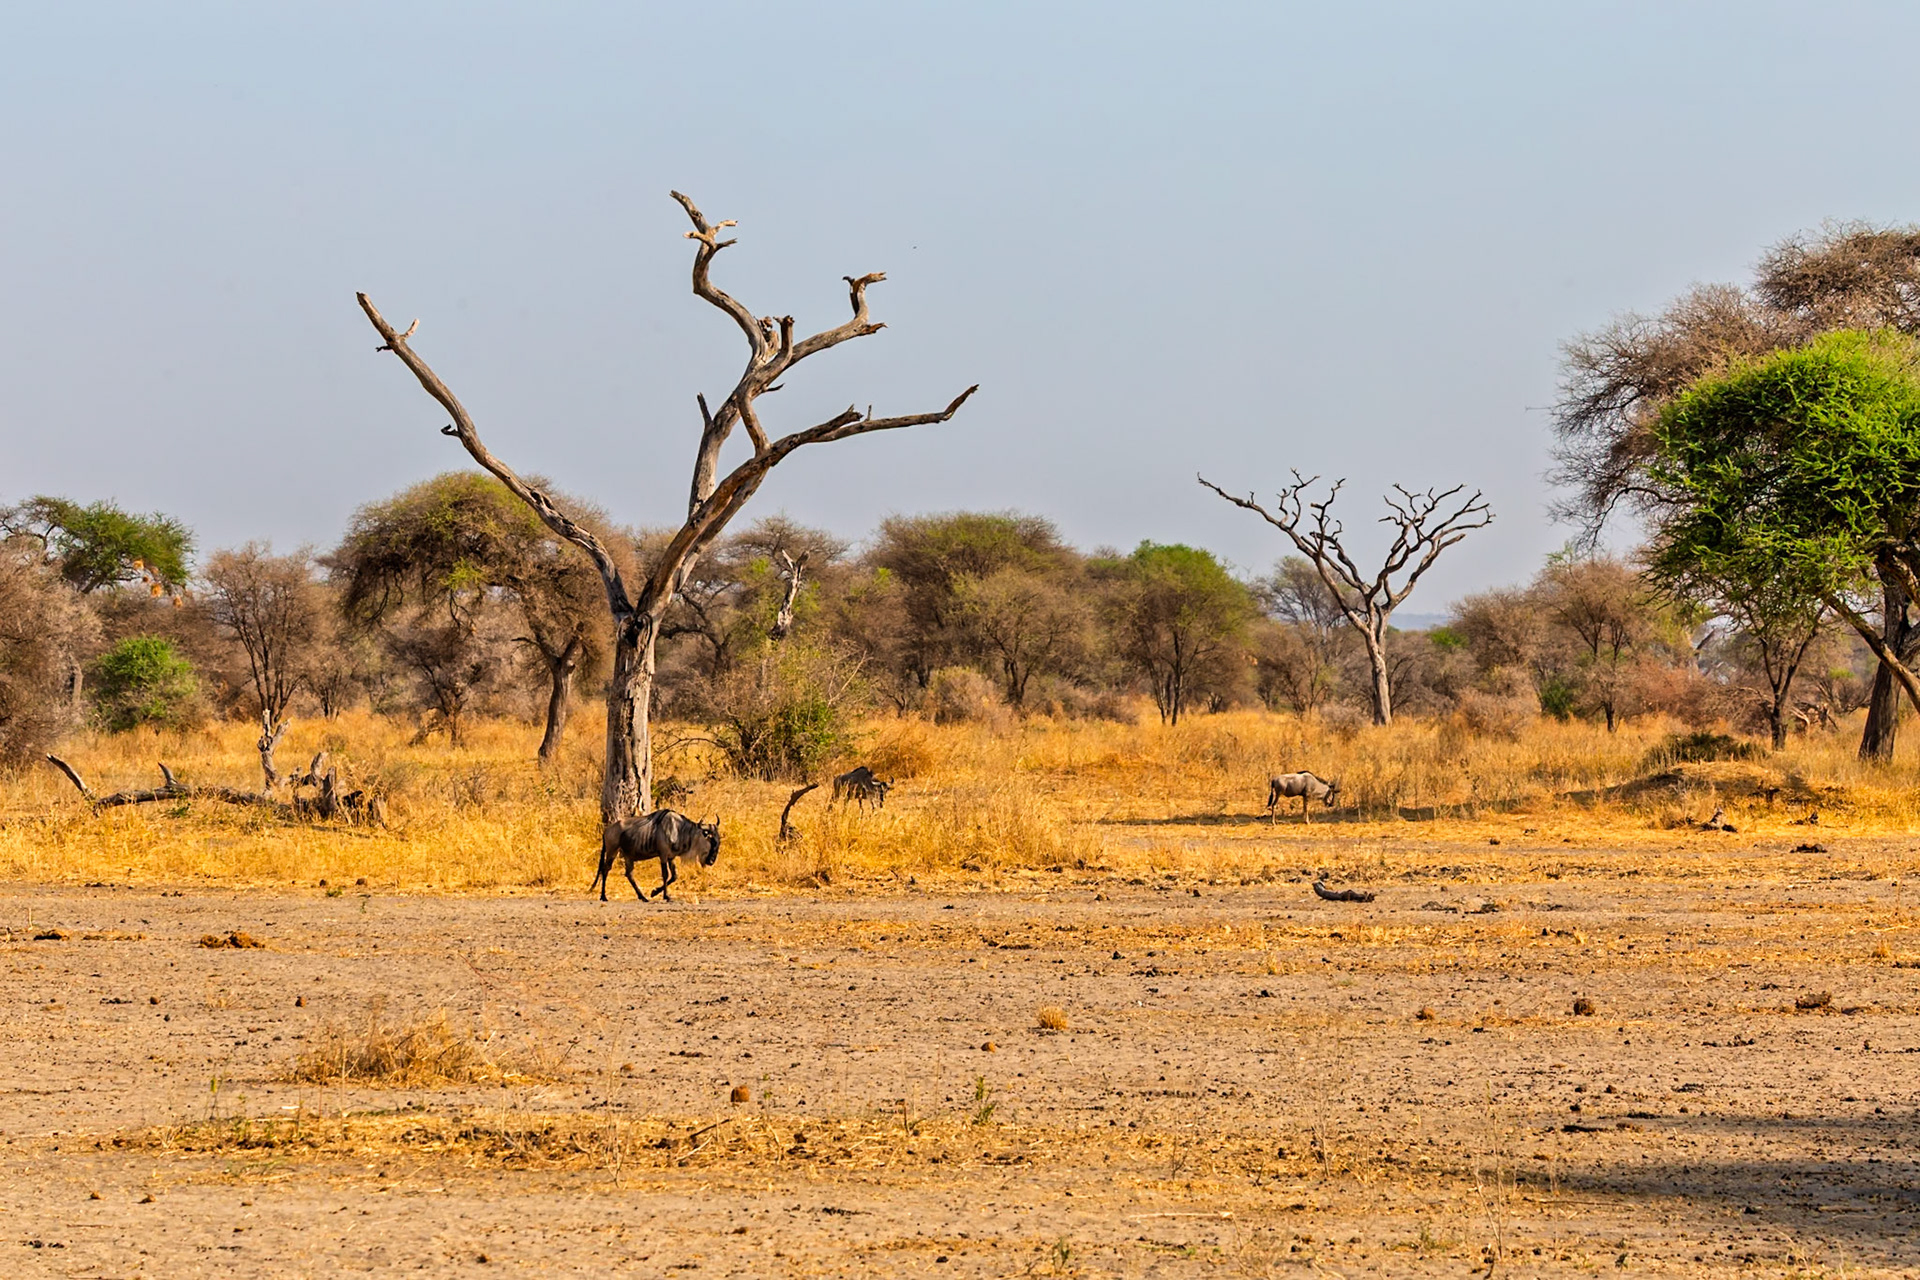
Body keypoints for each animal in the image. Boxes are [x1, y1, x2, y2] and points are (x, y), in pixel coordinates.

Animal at [592, 810, 721, 902]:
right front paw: (666, 896)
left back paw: (643, 897)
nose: (711, 861)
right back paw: (603, 897)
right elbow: (665, 874)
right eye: (711, 840)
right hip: (612, 852)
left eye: (718, 841)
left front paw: (654, 892)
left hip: (628, 856)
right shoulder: (663, 855)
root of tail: (607, 830)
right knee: (605, 870)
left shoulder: (671, 857)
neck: (678, 829)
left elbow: (674, 876)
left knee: (629, 874)